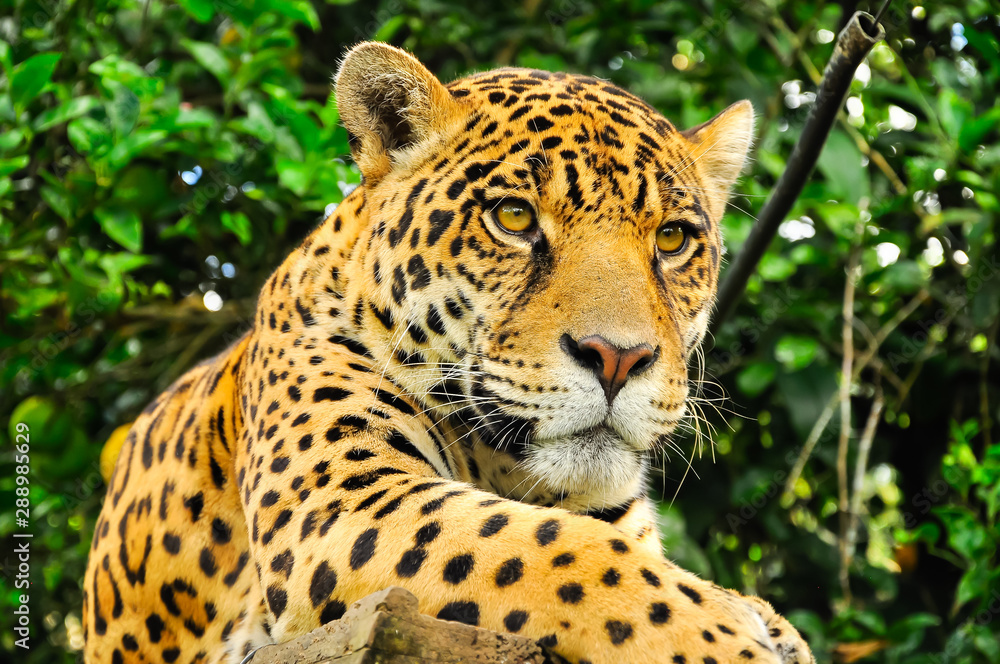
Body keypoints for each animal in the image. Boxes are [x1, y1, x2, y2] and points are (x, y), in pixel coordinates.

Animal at [84, 41, 815, 664]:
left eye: (672, 239)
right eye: (513, 218)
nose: (616, 358)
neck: (508, 470)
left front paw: (762, 620)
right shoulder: (342, 505)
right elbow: (556, 548)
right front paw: (725, 639)